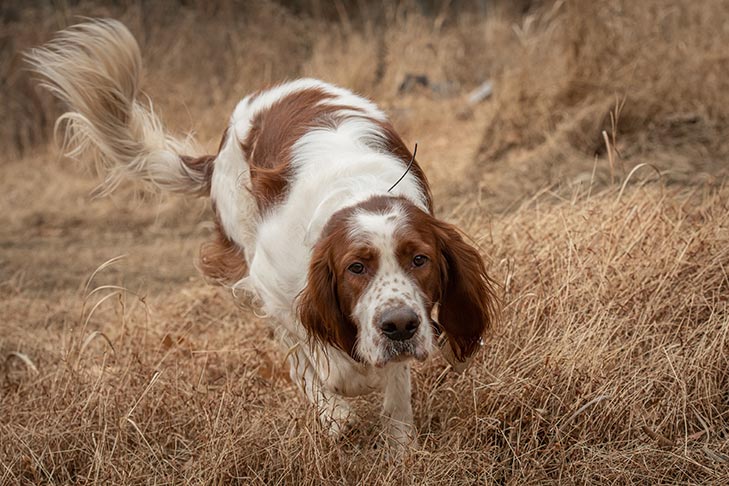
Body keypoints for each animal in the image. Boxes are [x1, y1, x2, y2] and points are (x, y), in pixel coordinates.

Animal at [28, 19, 494, 452]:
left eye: (420, 259)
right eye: (356, 267)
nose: (399, 327)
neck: (356, 190)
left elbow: (393, 384)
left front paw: (400, 448)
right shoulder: (276, 286)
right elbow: (318, 359)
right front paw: (337, 410)